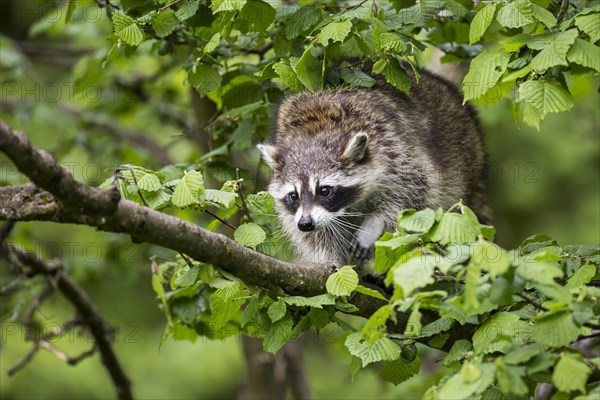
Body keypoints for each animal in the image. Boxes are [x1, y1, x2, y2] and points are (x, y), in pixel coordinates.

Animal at [258, 70, 492, 274]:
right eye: (293, 196)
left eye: (324, 190)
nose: (306, 224)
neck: (314, 133)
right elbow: (318, 237)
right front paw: (330, 258)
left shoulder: (396, 149)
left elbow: (407, 198)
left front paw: (374, 225)